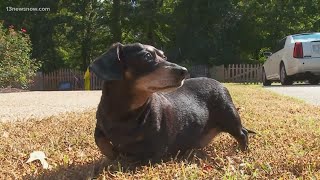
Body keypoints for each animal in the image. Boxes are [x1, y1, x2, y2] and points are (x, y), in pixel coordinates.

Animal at [89, 42, 252, 162]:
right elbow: (100, 140)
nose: (184, 71)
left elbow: (134, 156)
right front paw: (112, 153)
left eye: (164, 56)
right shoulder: (100, 127)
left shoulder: (155, 150)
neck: (125, 113)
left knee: (242, 133)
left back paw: (242, 151)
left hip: (229, 117)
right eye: (147, 56)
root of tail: (220, 83)